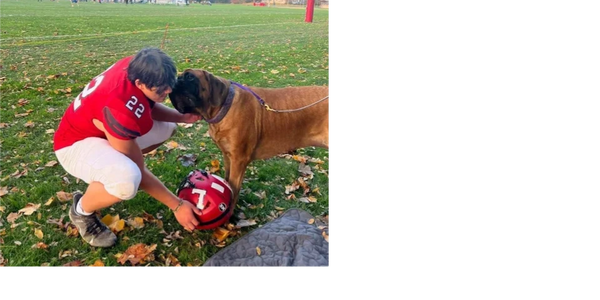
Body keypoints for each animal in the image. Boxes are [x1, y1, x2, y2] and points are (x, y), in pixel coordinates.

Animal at [168, 68, 332, 216]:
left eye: (190, 77)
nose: (174, 82)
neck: (224, 106)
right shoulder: (228, 156)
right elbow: (227, 180)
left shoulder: (239, 161)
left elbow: (233, 189)